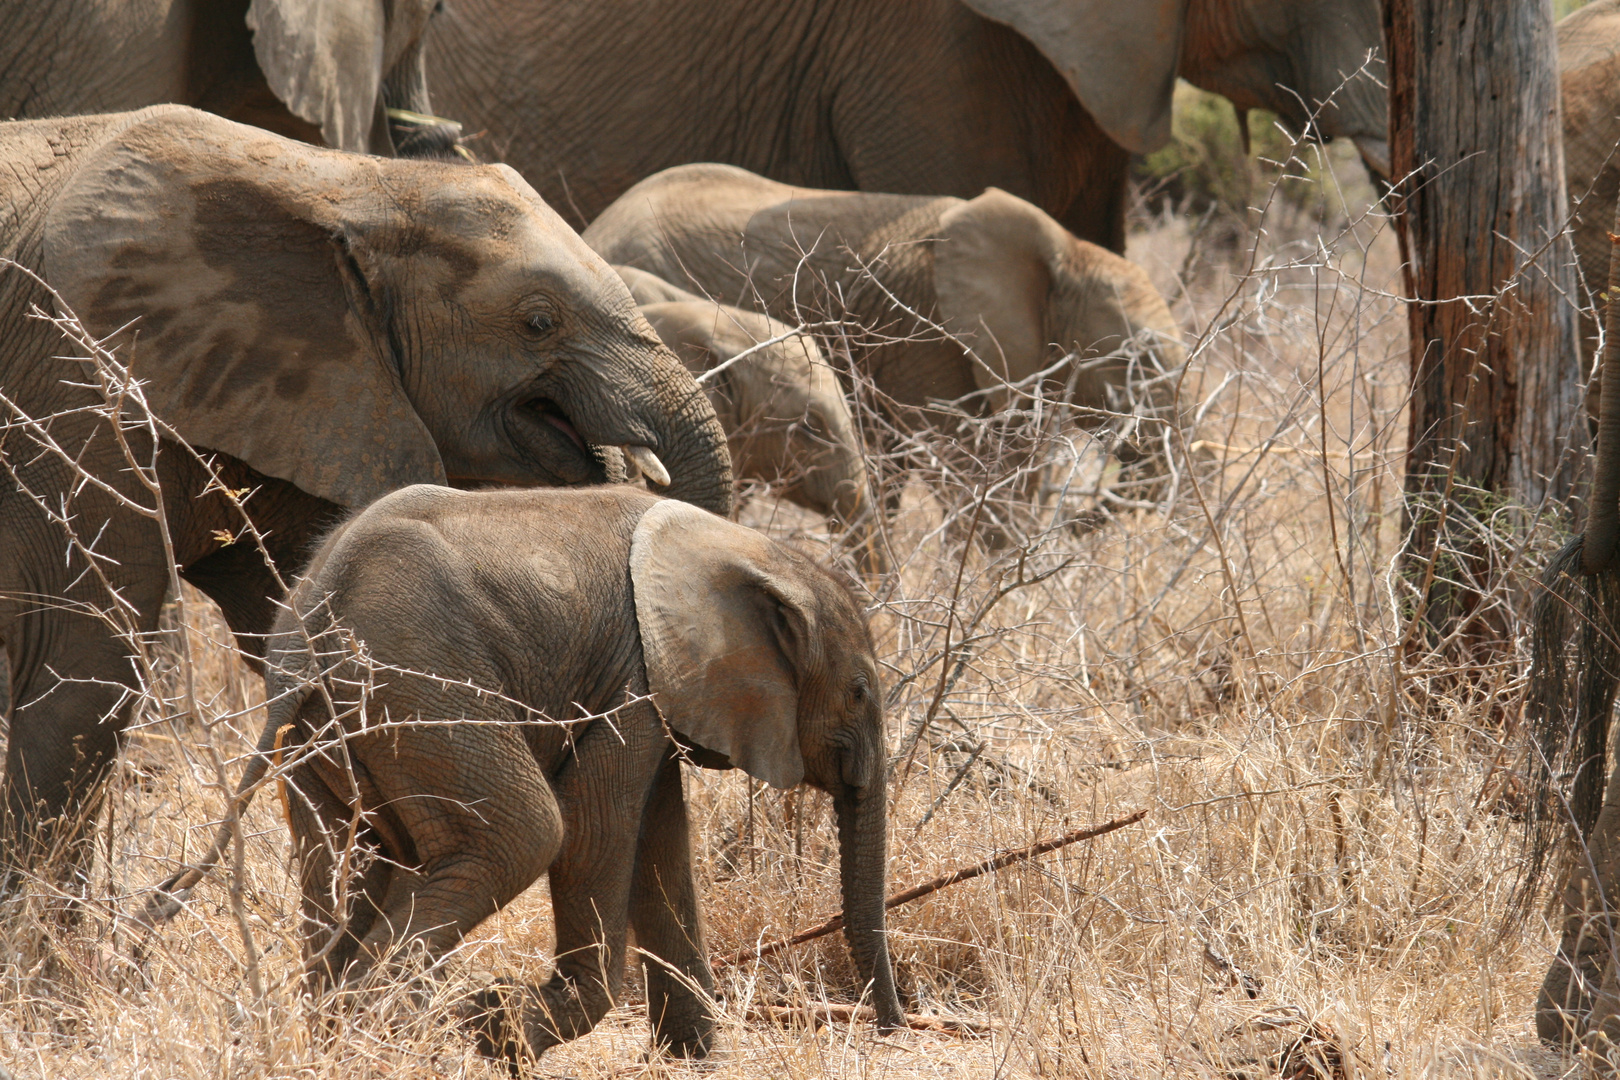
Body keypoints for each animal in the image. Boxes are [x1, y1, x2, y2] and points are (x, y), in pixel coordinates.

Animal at [0, 105, 735, 874]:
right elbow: (80, 663)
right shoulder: (76, 385)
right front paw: (45, 913)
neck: (353, 185)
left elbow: (293, 642)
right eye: (539, 322)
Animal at [152, 488, 907, 1062]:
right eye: (860, 692)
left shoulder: (655, 693)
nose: (893, 1027)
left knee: (348, 866)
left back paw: (340, 1044)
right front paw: (494, 1026)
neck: (745, 547)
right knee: (523, 835)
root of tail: (316, 614)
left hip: (323, 738)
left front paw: (694, 1060)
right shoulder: (630, 686)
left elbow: (660, 847)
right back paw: (394, 1039)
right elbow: (595, 834)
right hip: (425, 690)